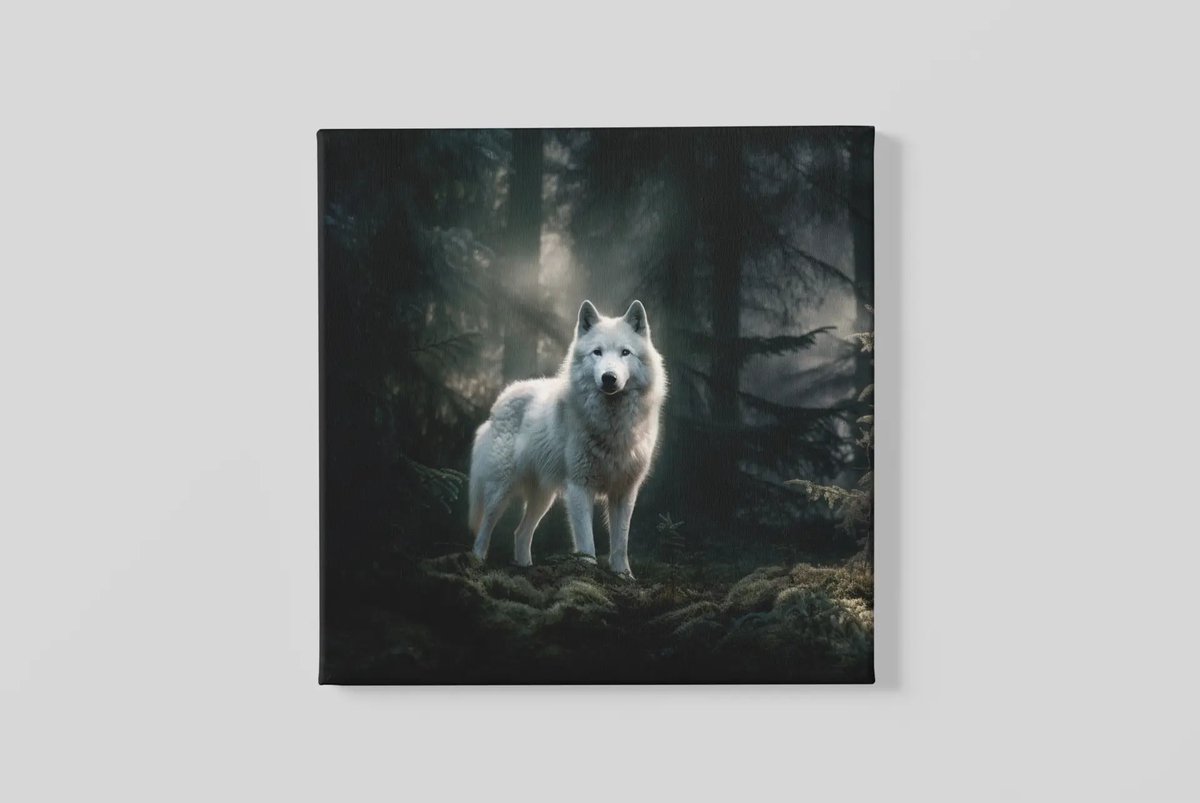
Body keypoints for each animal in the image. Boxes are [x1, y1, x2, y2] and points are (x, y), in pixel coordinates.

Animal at [468, 300, 666, 578]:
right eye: (597, 352)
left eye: (625, 353)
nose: (609, 377)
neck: (612, 425)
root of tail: (499, 402)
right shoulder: (579, 487)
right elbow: (586, 542)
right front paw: (587, 573)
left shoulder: (625, 492)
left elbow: (620, 543)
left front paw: (623, 576)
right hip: (501, 490)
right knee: (484, 529)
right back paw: (477, 561)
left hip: (543, 498)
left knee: (520, 533)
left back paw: (525, 567)